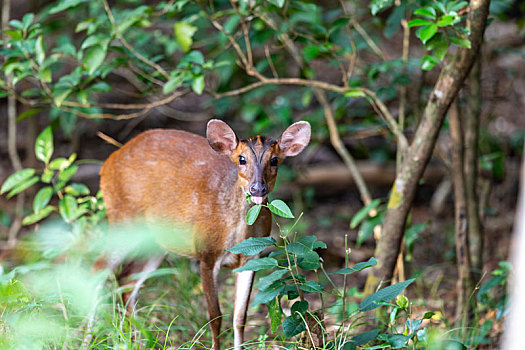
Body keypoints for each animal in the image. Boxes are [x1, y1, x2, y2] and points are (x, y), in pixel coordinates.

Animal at [97, 119, 312, 348]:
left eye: (274, 160)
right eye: (241, 159)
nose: (257, 189)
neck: (236, 234)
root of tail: (108, 162)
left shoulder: (251, 259)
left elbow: (240, 318)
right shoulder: (206, 253)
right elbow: (215, 317)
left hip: (156, 241)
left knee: (126, 279)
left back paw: (138, 340)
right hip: (122, 216)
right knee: (98, 268)